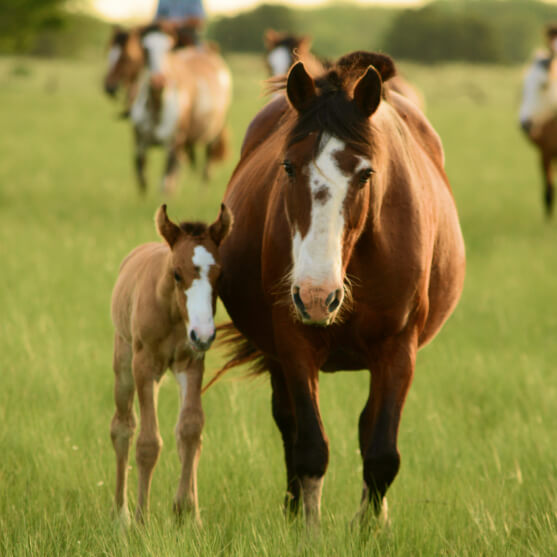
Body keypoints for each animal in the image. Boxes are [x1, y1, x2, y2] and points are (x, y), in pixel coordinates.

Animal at [109, 202, 231, 524]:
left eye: (220, 274)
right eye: (177, 273)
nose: (203, 333)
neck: (174, 313)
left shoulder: (192, 363)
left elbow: (190, 429)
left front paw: (187, 513)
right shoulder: (144, 366)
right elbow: (148, 442)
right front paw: (141, 520)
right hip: (124, 363)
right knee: (122, 427)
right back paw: (121, 514)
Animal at [213, 51, 464, 524]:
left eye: (365, 174)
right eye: (288, 167)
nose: (316, 296)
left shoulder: (399, 349)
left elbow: (381, 454)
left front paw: (369, 528)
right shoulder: (293, 343)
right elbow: (310, 446)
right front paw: (306, 526)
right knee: (289, 425)